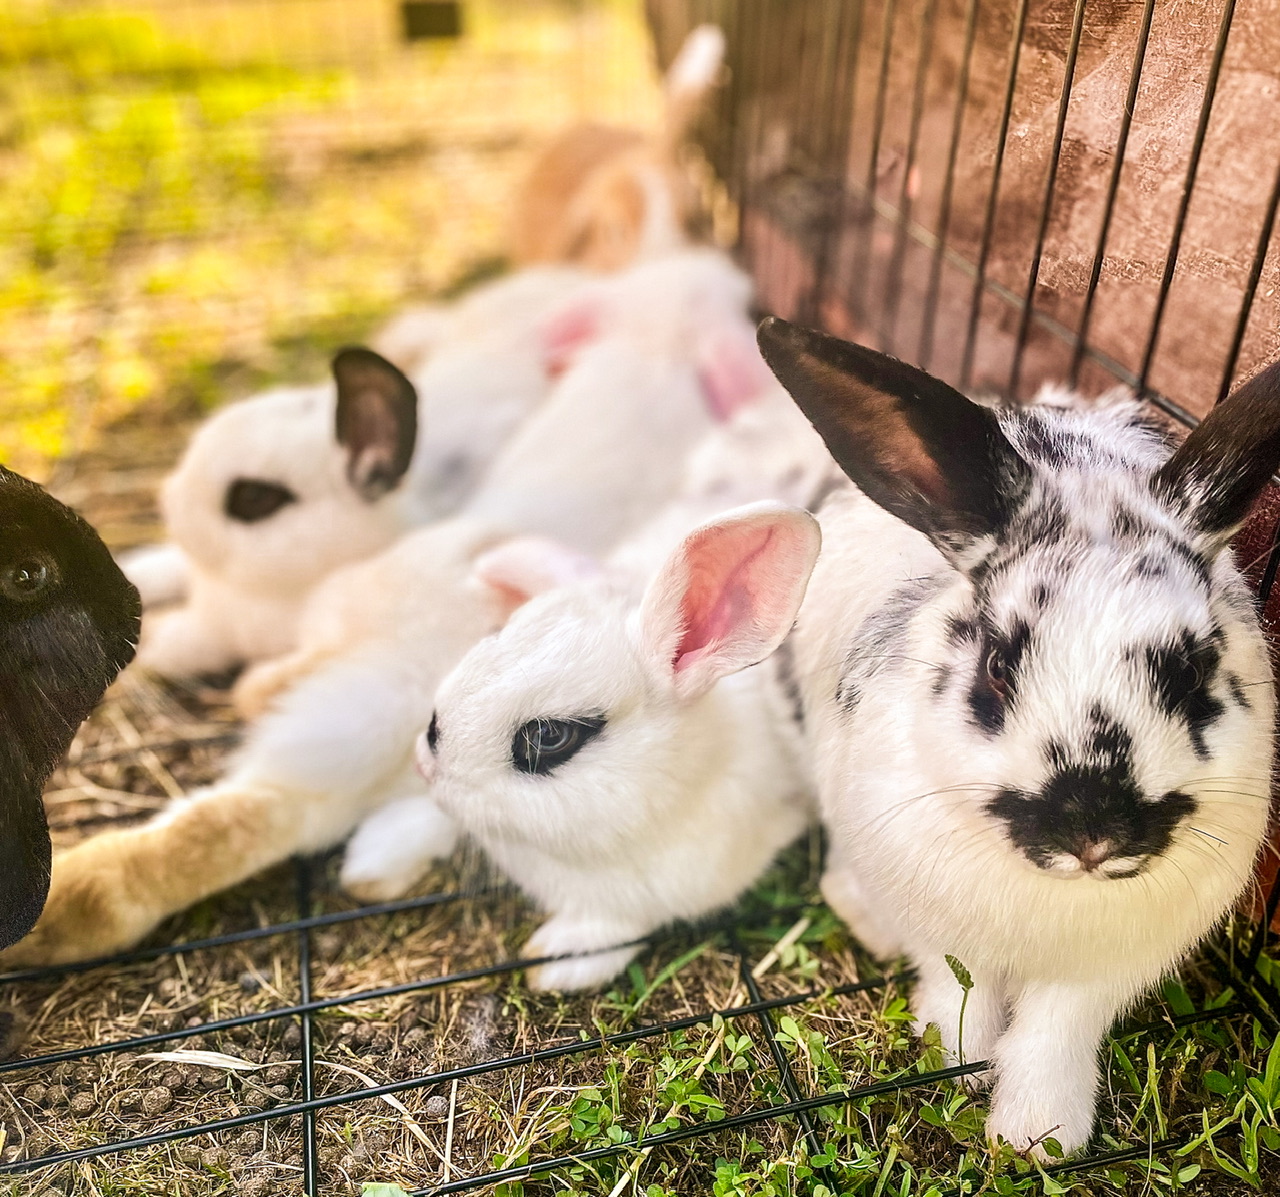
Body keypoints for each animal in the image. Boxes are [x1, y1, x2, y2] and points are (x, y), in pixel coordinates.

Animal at [756, 316, 1279, 1159]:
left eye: (1194, 669)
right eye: (1000, 665)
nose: (1094, 833)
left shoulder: (1099, 973)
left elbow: (1055, 1031)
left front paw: (1038, 1135)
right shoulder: (936, 923)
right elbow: (954, 988)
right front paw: (956, 1058)